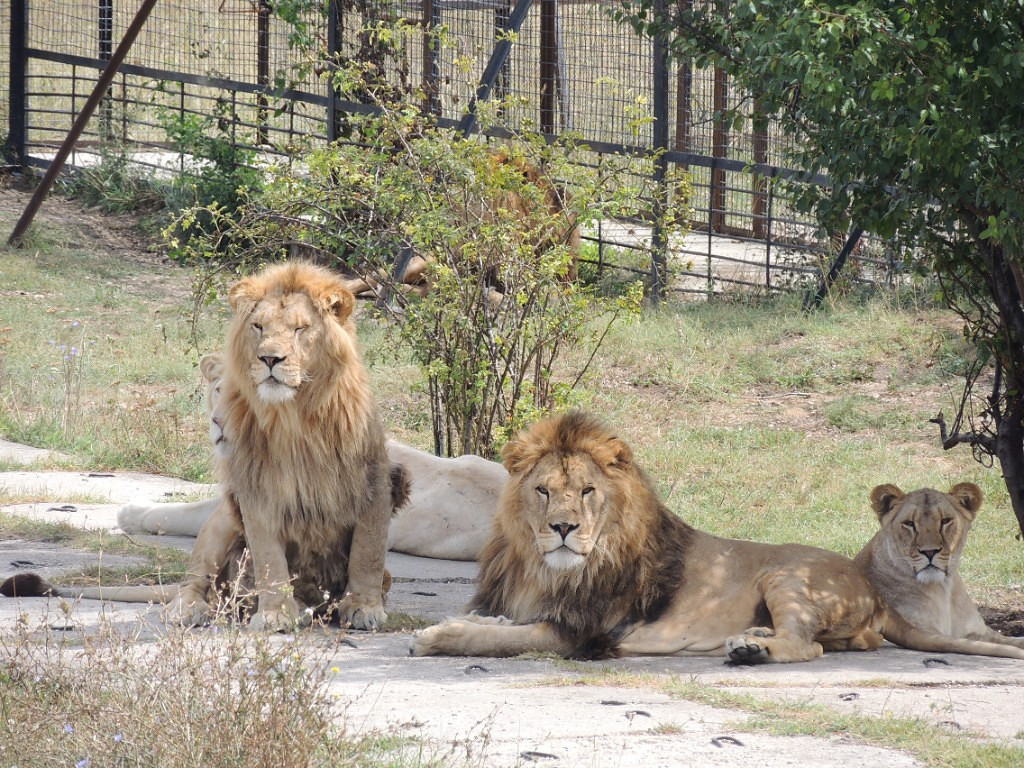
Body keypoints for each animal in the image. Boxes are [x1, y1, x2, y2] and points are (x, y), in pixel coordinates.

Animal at [411, 411, 892, 663]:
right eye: (543, 491)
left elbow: (500, 640)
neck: (543, 570)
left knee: (808, 646)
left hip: (786, 576)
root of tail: (874, 591)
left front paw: (436, 637)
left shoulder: (579, 634)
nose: (564, 527)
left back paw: (752, 649)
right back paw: (755, 635)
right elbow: (499, 623)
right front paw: (467, 621)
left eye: (587, 491)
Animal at [851, 487, 1024, 663]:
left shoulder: (977, 632)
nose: (929, 551)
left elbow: (1010, 641)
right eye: (909, 523)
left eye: (945, 521)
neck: (944, 589)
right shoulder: (926, 632)